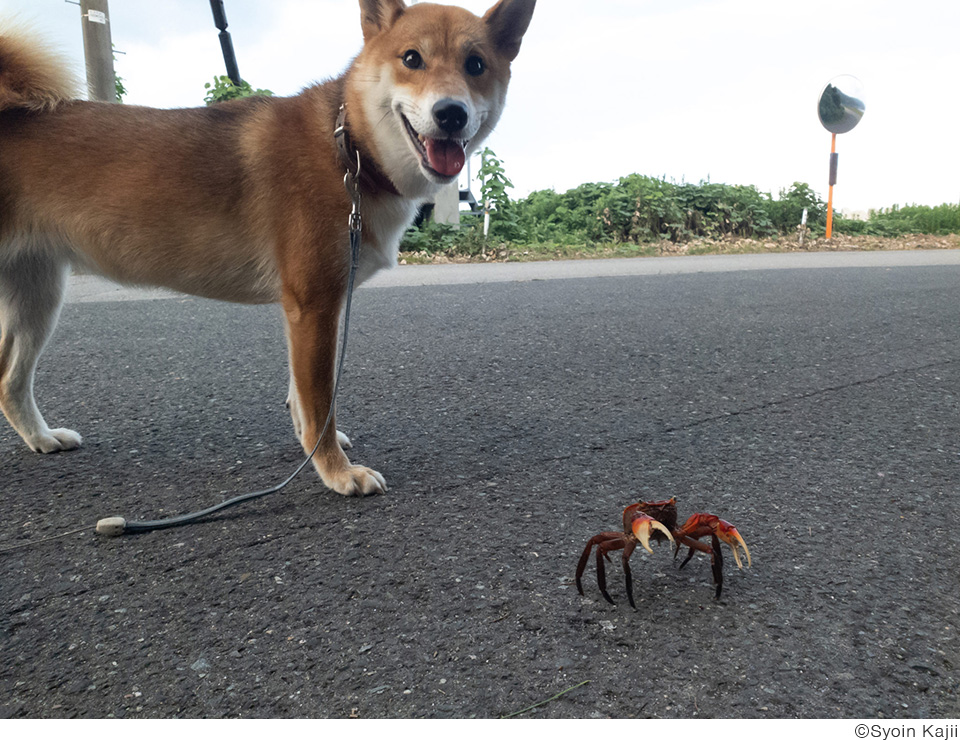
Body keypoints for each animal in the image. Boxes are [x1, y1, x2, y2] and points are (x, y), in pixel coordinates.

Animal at [0, 1, 532, 498]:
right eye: (411, 58)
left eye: (476, 65)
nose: (451, 113)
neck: (349, 150)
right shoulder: (314, 305)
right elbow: (319, 401)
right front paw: (335, 469)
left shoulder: (309, 311)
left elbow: (303, 399)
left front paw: (313, 449)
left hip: (39, 296)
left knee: (9, 382)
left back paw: (42, 438)